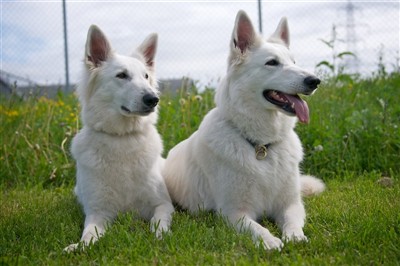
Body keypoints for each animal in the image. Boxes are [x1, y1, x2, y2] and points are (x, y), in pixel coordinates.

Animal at [64, 25, 173, 251]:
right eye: (121, 75)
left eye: (146, 76)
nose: (153, 99)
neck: (123, 138)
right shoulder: (98, 213)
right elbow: (89, 233)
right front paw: (79, 246)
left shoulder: (163, 204)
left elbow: (158, 221)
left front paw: (160, 236)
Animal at [162, 10, 324, 250]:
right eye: (272, 63)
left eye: (293, 62)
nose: (315, 81)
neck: (261, 146)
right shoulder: (234, 212)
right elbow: (257, 227)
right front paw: (270, 241)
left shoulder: (291, 204)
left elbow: (292, 222)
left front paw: (295, 237)